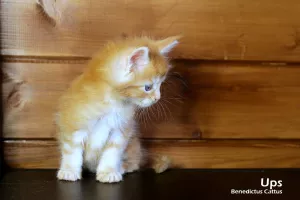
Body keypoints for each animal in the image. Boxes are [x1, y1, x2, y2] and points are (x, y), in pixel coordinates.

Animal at [55, 36, 179, 183]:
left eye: (160, 85)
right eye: (148, 87)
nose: (157, 98)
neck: (112, 102)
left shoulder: (121, 130)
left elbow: (112, 152)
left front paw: (108, 172)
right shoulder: (74, 124)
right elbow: (72, 151)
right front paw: (69, 171)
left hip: (133, 145)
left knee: (134, 163)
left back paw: (121, 167)